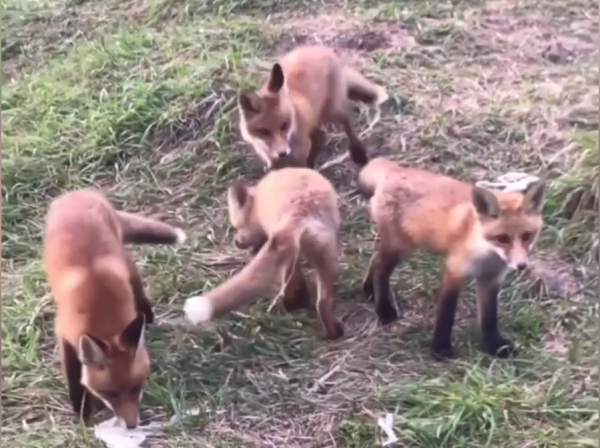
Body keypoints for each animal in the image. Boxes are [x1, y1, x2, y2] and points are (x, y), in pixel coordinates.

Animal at [42, 188, 185, 428]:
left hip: (123, 256)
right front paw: (82, 408)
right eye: (111, 393)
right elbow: (74, 375)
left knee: (137, 284)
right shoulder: (63, 333)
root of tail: (79, 192)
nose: (132, 425)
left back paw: (147, 314)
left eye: (136, 387)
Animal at [183, 167, 344, 340]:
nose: (237, 243)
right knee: (314, 296)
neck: (258, 201)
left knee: (318, 300)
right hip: (314, 254)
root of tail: (300, 210)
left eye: (236, 226)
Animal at [237, 45, 392, 172]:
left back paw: (358, 152)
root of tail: (322, 48)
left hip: (331, 112)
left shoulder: (299, 153)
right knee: (321, 136)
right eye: (263, 131)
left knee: (346, 120)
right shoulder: (269, 157)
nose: (283, 153)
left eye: (284, 125)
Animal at [350, 156, 548, 358]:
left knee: (375, 259)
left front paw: (495, 346)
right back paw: (383, 309)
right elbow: (446, 314)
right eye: (502, 238)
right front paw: (441, 348)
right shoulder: (454, 271)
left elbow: (489, 317)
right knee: (381, 268)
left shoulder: (490, 279)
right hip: (401, 246)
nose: (521, 265)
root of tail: (395, 169)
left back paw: (369, 290)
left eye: (527, 236)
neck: (488, 256)